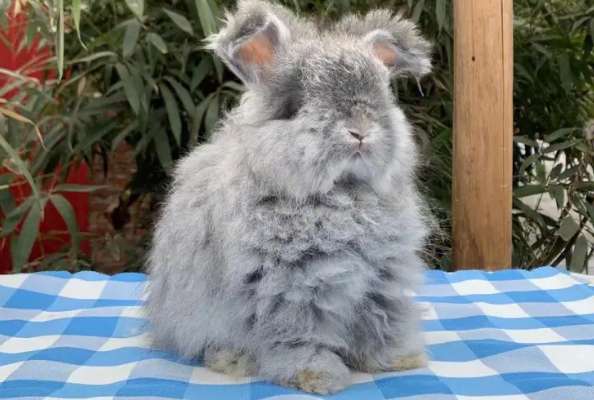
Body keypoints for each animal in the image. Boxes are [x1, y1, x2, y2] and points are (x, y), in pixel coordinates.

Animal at [143, 0, 430, 394]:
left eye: (382, 98)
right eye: (295, 106)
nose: (360, 130)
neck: (341, 195)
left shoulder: (382, 282)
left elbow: (382, 322)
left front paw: (399, 360)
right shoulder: (291, 290)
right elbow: (299, 337)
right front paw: (318, 377)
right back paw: (232, 360)